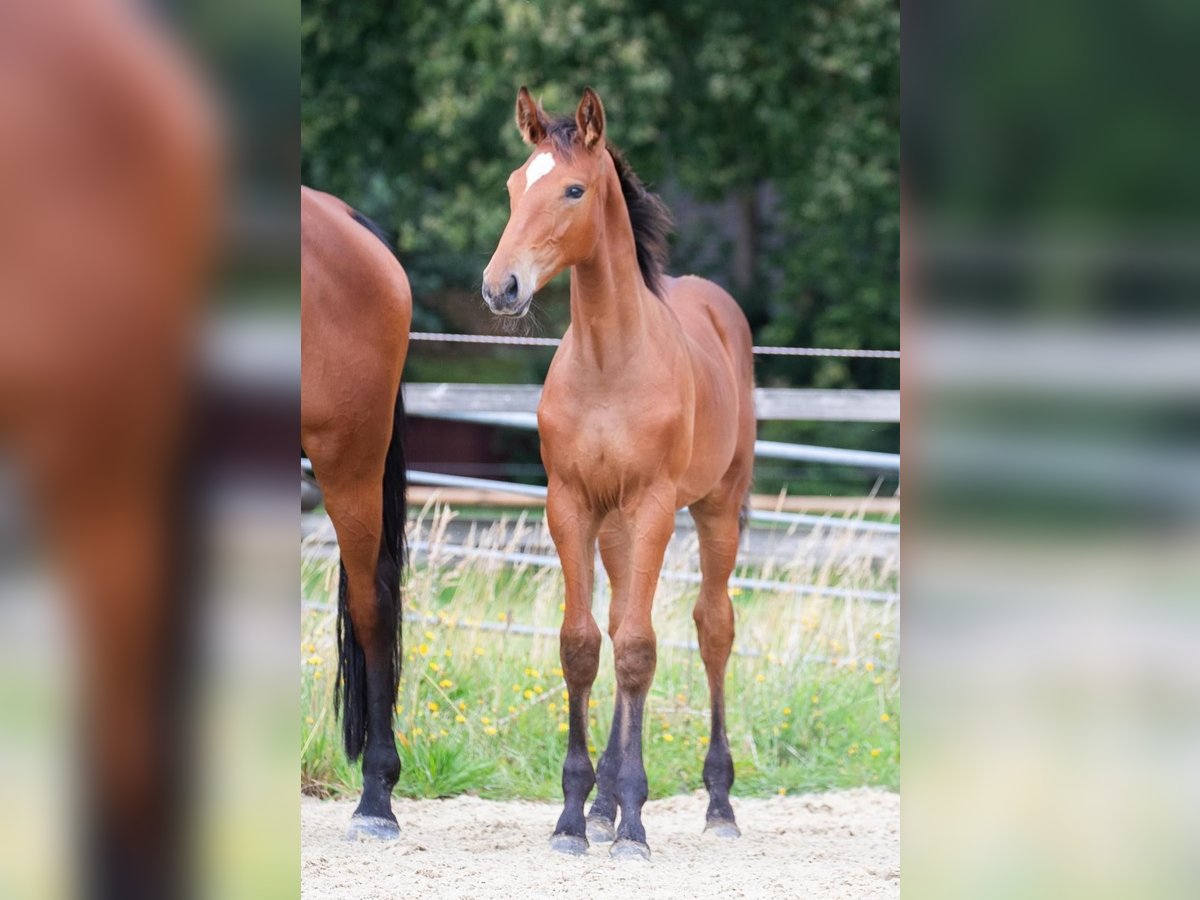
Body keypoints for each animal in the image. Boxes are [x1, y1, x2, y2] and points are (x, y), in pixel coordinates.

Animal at [482, 90, 753, 859]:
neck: (609, 362)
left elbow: (637, 650)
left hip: (716, 507)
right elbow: (583, 646)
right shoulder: (571, 504)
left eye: (573, 189)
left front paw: (634, 821)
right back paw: (603, 804)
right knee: (617, 621)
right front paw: (576, 816)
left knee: (710, 628)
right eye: (514, 184)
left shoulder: (654, 505)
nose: (501, 287)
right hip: (614, 527)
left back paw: (717, 804)